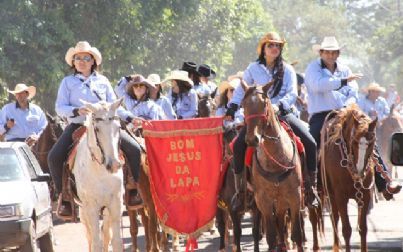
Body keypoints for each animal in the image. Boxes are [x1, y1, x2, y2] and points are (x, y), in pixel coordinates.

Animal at [72, 99, 124, 251]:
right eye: (98, 129)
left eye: (118, 127)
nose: (114, 164)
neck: (100, 172)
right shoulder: (91, 208)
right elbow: (96, 243)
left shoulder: (116, 203)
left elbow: (116, 241)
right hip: (83, 211)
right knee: (90, 238)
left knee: (106, 234)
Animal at [241, 85, 304, 252]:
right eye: (243, 105)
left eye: (264, 104)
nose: (252, 139)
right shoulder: (263, 200)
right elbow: (270, 237)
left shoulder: (295, 197)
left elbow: (297, 234)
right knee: (264, 229)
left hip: (282, 200)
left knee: (281, 224)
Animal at [320, 105, 378, 252]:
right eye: (354, 141)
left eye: (372, 142)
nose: (360, 170)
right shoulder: (341, 196)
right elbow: (346, 229)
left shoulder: (365, 195)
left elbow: (363, 229)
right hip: (331, 196)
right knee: (334, 218)